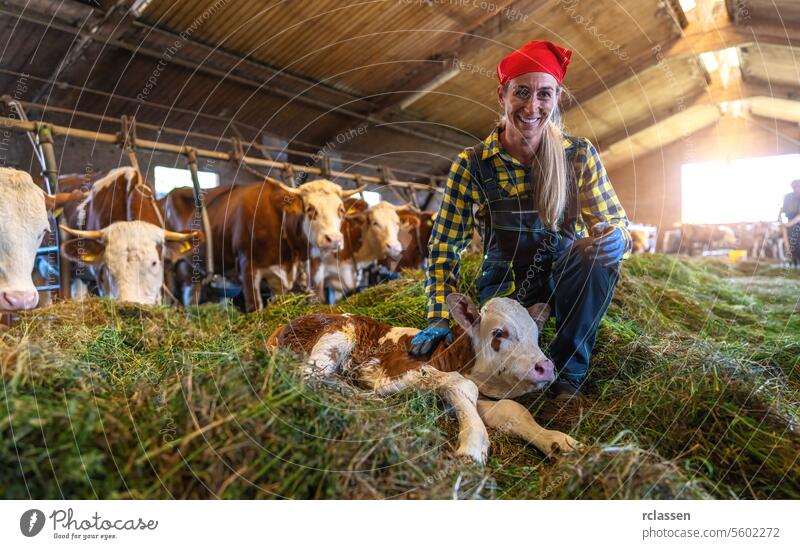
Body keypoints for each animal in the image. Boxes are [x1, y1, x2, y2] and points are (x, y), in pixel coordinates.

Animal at [166, 178, 366, 310]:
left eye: (341, 210)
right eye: (310, 209)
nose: (334, 239)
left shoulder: (307, 267)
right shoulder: (247, 265)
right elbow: (255, 306)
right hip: (183, 267)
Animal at [272, 292, 580, 462]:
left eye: (536, 335)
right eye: (498, 333)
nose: (546, 367)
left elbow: (510, 409)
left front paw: (557, 441)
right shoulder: (393, 371)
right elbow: (459, 383)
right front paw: (473, 444)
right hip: (335, 336)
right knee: (308, 377)